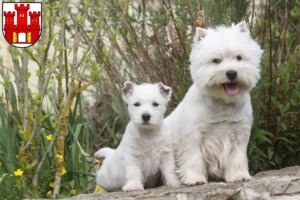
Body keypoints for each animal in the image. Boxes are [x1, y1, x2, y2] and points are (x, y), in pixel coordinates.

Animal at [165, 21, 264, 185]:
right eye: (216, 60)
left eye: (239, 57)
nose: (232, 73)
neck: (222, 104)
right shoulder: (194, 134)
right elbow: (193, 157)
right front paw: (195, 179)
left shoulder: (240, 133)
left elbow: (237, 157)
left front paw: (238, 176)